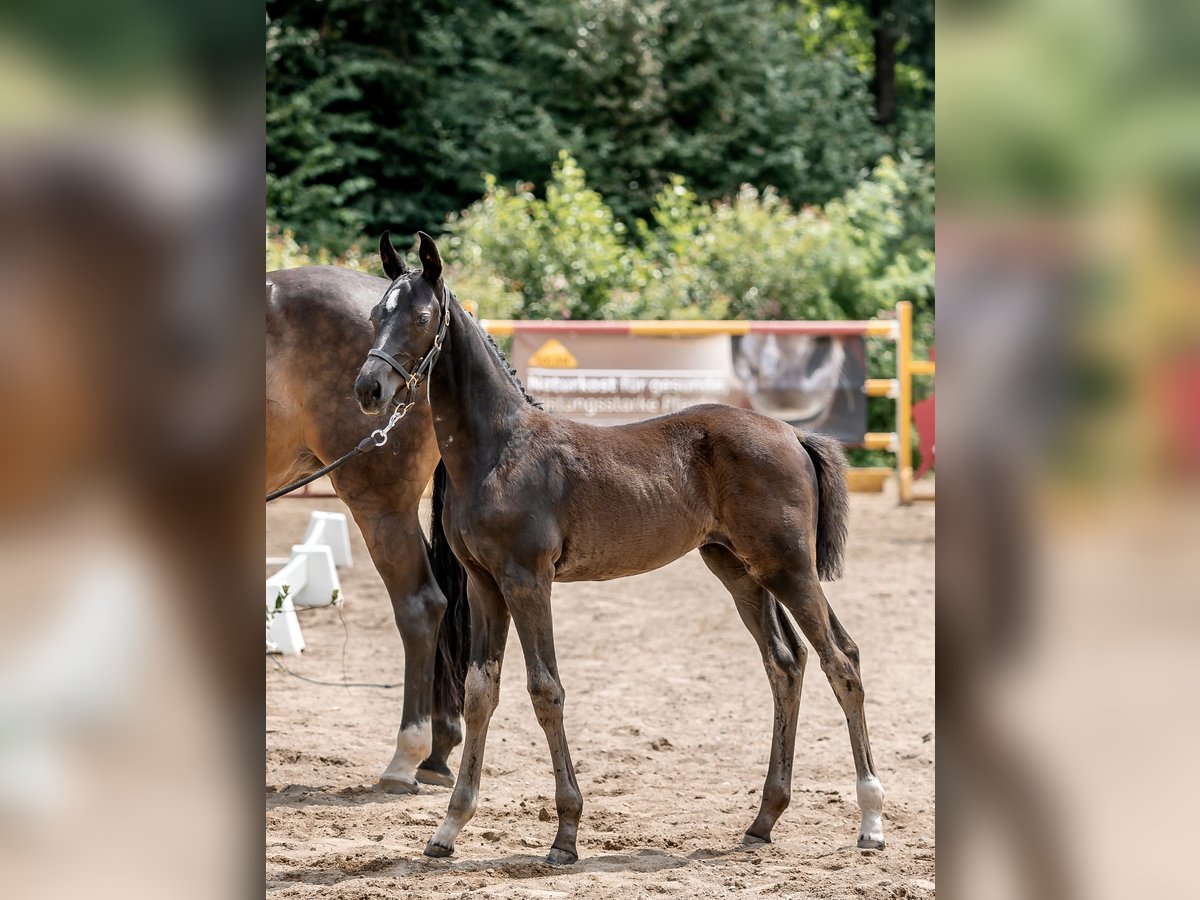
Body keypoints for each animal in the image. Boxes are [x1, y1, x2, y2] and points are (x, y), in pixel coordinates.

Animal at [350, 234, 888, 868]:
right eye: (374, 314)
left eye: (420, 316)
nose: (369, 389)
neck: (498, 449)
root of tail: (793, 434)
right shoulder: (484, 583)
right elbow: (482, 690)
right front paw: (449, 828)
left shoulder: (527, 580)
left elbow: (545, 690)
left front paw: (565, 834)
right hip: (738, 569)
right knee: (786, 663)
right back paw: (763, 820)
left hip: (789, 567)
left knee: (841, 660)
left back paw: (871, 821)